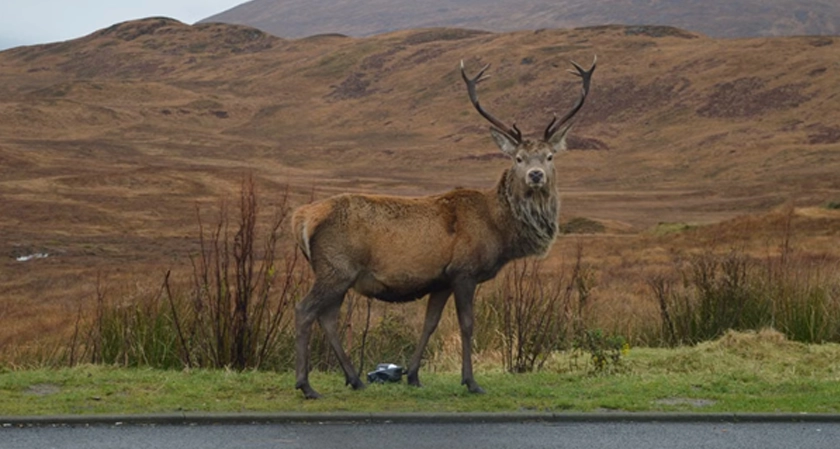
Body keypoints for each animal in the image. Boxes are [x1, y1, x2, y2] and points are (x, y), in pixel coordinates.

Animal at [291, 56, 596, 399]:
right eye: (518, 158)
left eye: (549, 156)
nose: (535, 175)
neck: (499, 231)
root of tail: (302, 217)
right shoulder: (464, 271)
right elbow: (467, 324)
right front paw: (471, 381)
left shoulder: (440, 280)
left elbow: (431, 323)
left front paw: (413, 376)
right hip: (335, 268)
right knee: (304, 310)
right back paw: (306, 385)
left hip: (339, 275)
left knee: (328, 317)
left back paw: (354, 379)